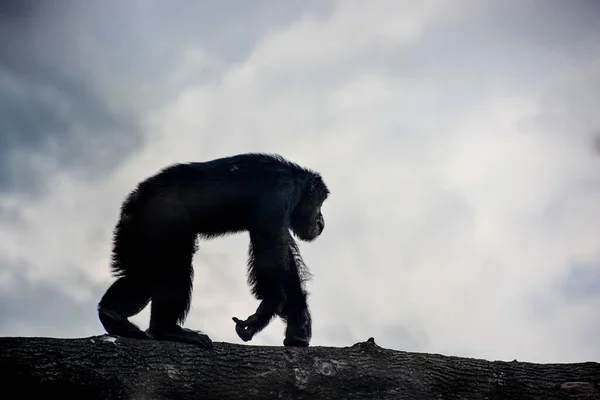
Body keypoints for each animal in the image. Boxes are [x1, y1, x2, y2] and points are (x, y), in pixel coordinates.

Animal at [97, 152, 328, 348]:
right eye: (320, 202)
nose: (321, 220)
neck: (296, 183)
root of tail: (134, 200)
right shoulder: (280, 194)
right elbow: (270, 247)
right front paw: (267, 309)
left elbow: (285, 260)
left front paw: (299, 326)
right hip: (162, 219)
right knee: (174, 264)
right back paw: (167, 330)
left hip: (137, 234)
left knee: (145, 273)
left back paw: (113, 315)